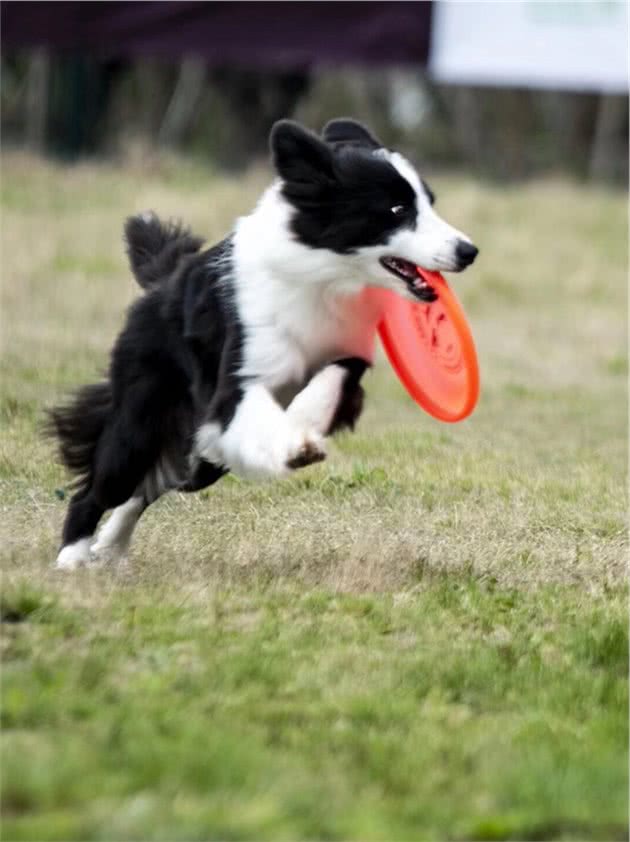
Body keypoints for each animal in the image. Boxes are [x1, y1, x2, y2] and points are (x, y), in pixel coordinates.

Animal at [49, 118, 476, 568]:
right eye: (397, 210)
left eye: (430, 202)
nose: (468, 251)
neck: (326, 279)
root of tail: (165, 281)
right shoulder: (237, 380)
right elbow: (252, 408)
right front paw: (294, 443)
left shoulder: (349, 348)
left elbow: (334, 377)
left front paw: (305, 424)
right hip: (145, 409)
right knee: (105, 483)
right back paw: (73, 558)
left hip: (201, 452)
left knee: (151, 486)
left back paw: (110, 548)